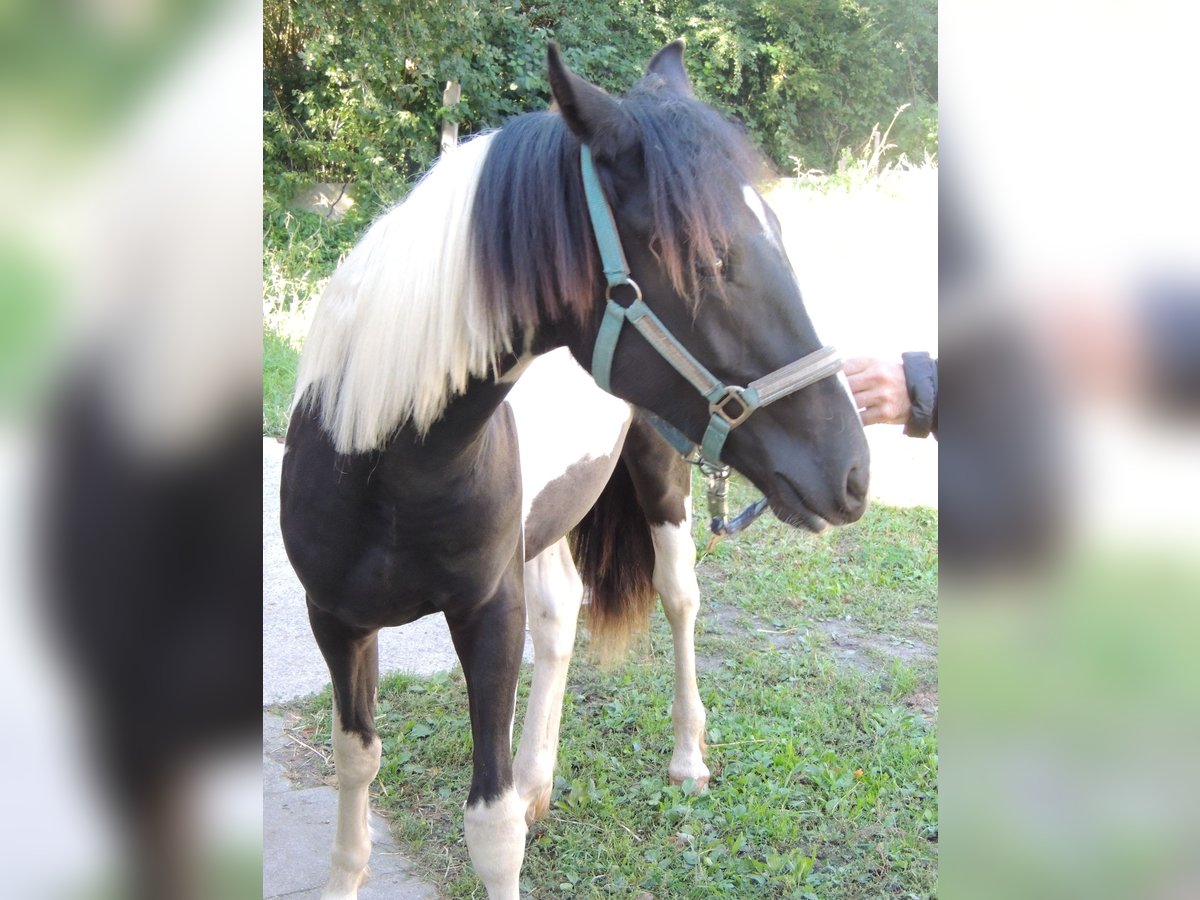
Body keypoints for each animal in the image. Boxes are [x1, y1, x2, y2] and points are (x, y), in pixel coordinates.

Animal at [278, 38, 873, 897]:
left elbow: (489, 828)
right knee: (561, 616)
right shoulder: (335, 618)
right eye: (709, 258)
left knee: (678, 597)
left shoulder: (487, 615)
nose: (853, 472)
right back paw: (538, 779)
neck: (385, 469)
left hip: (661, 480)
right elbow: (357, 762)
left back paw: (686, 759)